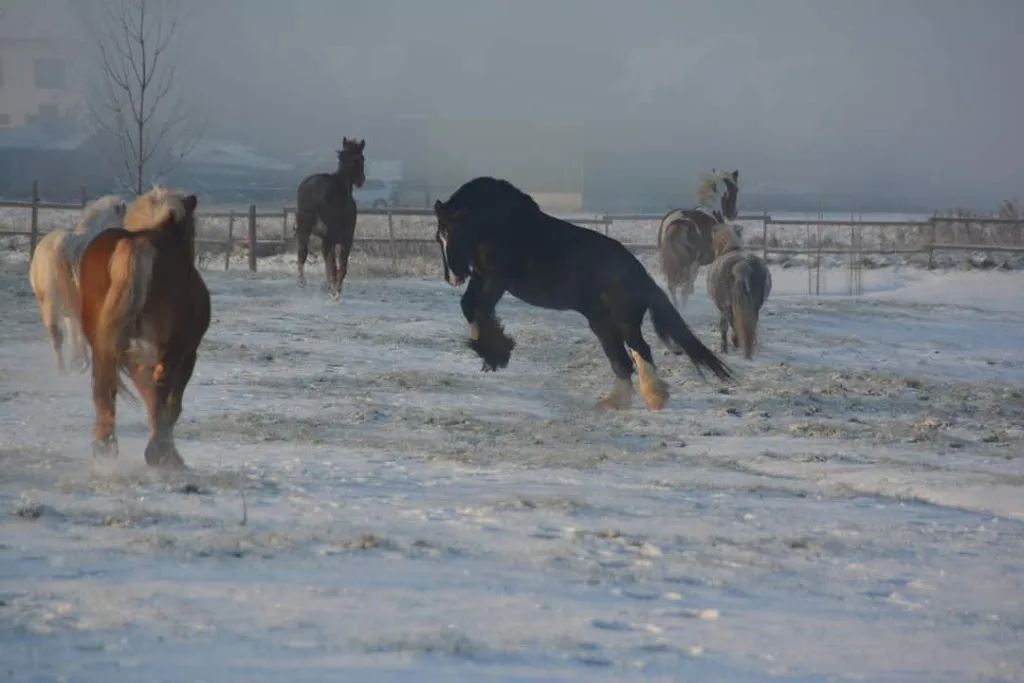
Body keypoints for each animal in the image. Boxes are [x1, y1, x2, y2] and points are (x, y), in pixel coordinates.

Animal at [77, 187, 211, 469]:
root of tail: (138, 244)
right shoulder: (187, 353)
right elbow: (171, 403)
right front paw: (167, 451)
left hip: (105, 345)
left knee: (104, 388)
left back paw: (105, 446)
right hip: (169, 348)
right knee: (161, 386)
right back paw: (157, 451)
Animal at [294, 137, 366, 299]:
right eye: (360, 159)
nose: (361, 180)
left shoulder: (335, 239)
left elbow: (334, 264)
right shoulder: (341, 239)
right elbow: (337, 265)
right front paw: (335, 291)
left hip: (311, 231)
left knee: (306, 254)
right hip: (325, 235)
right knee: (326, 261)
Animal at [433, 176, 733, 411]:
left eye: (456, 233)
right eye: (439, 237)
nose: (453, 277)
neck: (503, 226)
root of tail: (641, 274)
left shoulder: (497, 280)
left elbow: (479, 309)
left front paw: (496, 353)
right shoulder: (482, 277)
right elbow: (469, 307)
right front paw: (492, 354)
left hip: (623, 320)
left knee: (640, 350)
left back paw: (655, 397)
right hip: (601, 322)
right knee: (623, 361)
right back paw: (613, 402)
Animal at [657, 169, 740, 310]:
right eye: (735, 189)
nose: (733, 214)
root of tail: (679, 221)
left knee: (672, 288)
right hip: (690, 265)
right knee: (683, 290)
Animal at [706, 223, 772, 360]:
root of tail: (743, 265)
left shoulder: (722, 307)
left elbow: (723, 327)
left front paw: (724, 349)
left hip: (727, 307)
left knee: (734, 324)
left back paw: (736, 343)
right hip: (755, 307)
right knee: (751, 325)